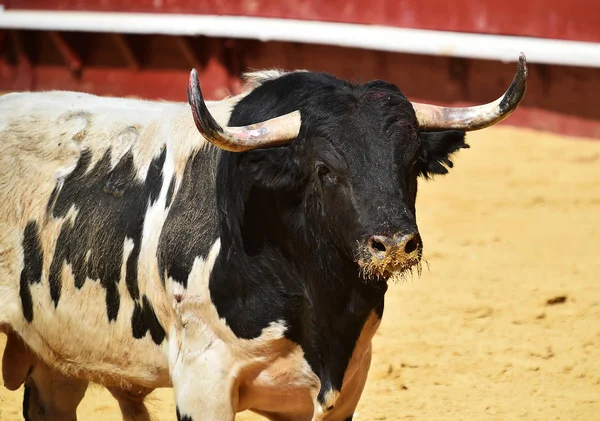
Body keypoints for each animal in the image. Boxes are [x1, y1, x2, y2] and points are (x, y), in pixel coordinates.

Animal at [0, 55, 524, 420]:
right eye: (324, 169)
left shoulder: (346, 384)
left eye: (413, 164)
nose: (394, 244)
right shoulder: (203, 383)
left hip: (56, 360)